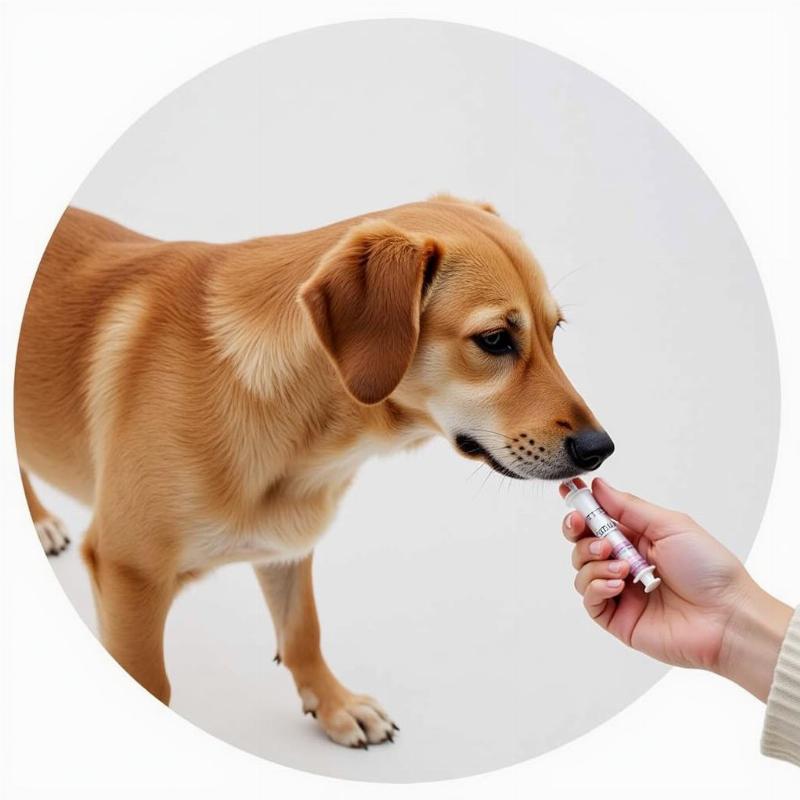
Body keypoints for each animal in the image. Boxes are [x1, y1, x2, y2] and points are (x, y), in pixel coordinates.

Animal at [14, 197, 612, 748]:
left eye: (554, 330)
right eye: (493, 339)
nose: (600, 449)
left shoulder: (285, 543)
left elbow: (302, 630)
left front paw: (334, 705)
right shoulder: (128, 573)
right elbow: (152, 683)